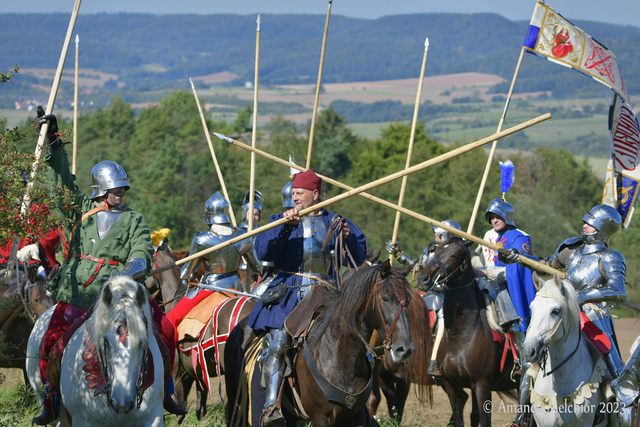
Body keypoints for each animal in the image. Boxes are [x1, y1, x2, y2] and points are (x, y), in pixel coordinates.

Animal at [224, 260, 416, 427]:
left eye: (408, 299)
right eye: (385, 299)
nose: (405, 349)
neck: (340, 356)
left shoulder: (354, 416)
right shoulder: (321, 417)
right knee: (277, 349)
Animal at [422, 237, 516, 427]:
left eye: (453, 255)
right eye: (436, 251)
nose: (423, 278)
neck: (461, 336)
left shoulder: (482, 386)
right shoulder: (452, 386)